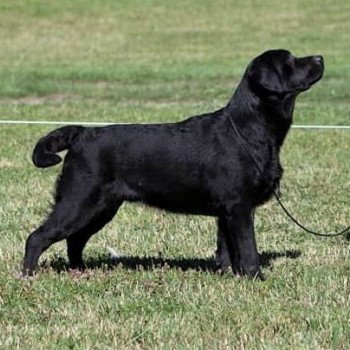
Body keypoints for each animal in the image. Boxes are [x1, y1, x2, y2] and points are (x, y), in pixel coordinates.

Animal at [23, 49, 324, 278]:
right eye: (290, 61)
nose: (320, 57)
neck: (248, 128)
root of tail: (82, 133)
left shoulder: (226, 210)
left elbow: (227, 249)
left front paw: (229, 275)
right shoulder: (240, 206)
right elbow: (248, 248)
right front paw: (255, 277)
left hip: (101, 207)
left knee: (75, 239)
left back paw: (80, 271)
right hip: (79, 200)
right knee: (38, 237)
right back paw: (28, 276)